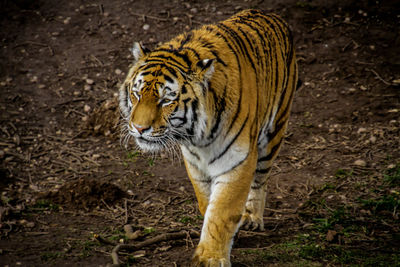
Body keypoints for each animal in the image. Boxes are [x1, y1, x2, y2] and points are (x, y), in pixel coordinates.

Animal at [119, 8, 296, 267]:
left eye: (166, 100)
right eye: (137, 94)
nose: (140, 128)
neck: (197, 136)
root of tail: (269, 13)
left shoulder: (237, 161)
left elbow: (222, 211)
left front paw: (209, 257)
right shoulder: (195, 164)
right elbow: (207, 203)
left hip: (274, 130)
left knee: (260, 180)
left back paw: (252, 216)